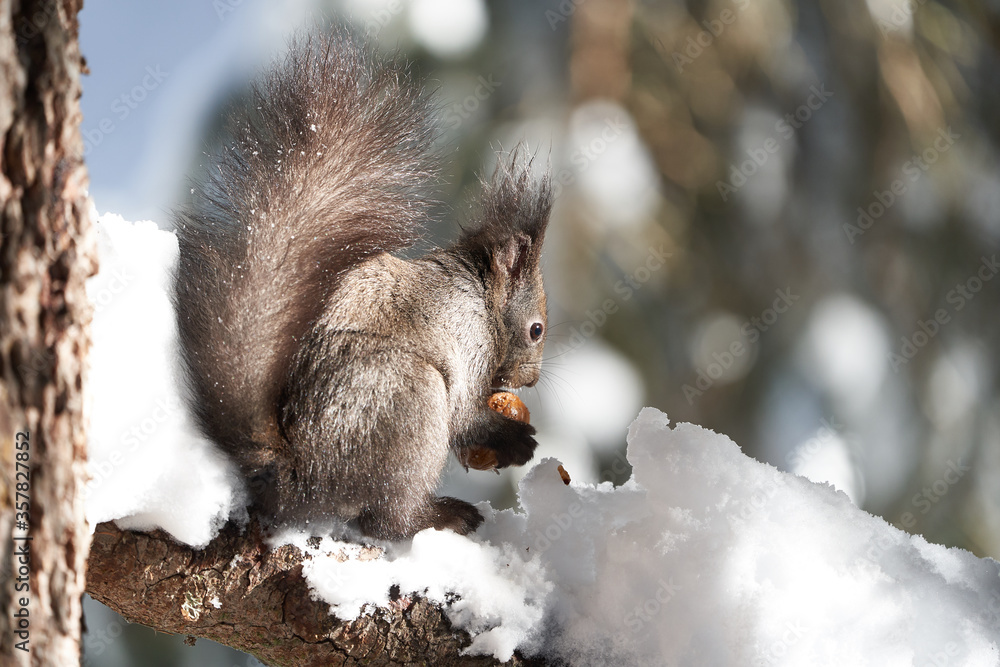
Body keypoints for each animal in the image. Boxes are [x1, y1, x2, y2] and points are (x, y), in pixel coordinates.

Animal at [171, 31, 551, 540]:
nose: (530, 381)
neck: (480, 296)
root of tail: (303, 481)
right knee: (388, 519)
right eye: (536, 330)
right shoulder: (468, 344)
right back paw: (444, 515)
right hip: (406, 400)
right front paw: (513, 440)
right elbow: (465, 417)